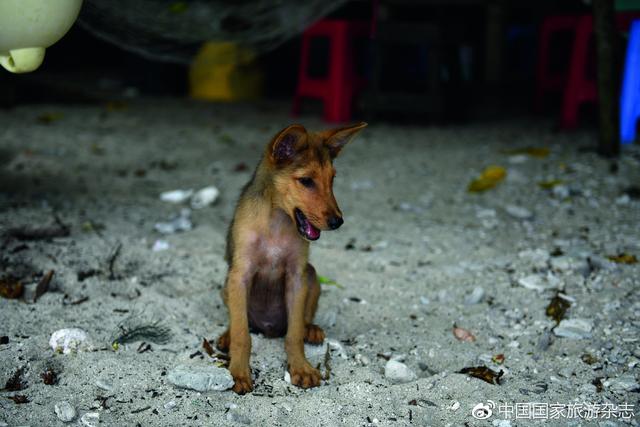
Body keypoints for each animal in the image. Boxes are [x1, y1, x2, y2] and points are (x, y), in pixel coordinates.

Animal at [218, 120, 364, 394]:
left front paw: (301, 368)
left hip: (312, 275)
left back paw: (312, 329)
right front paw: (238, 372)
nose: (338, 222)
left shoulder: (297, 276)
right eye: (306, 180)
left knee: (303, 319)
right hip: (226, 285)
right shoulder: (239, 275)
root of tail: (268, 328)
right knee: (239, 322)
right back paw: (226, 335)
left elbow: (294, 334)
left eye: (332, 179)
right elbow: (243, 335)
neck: (276, 221)